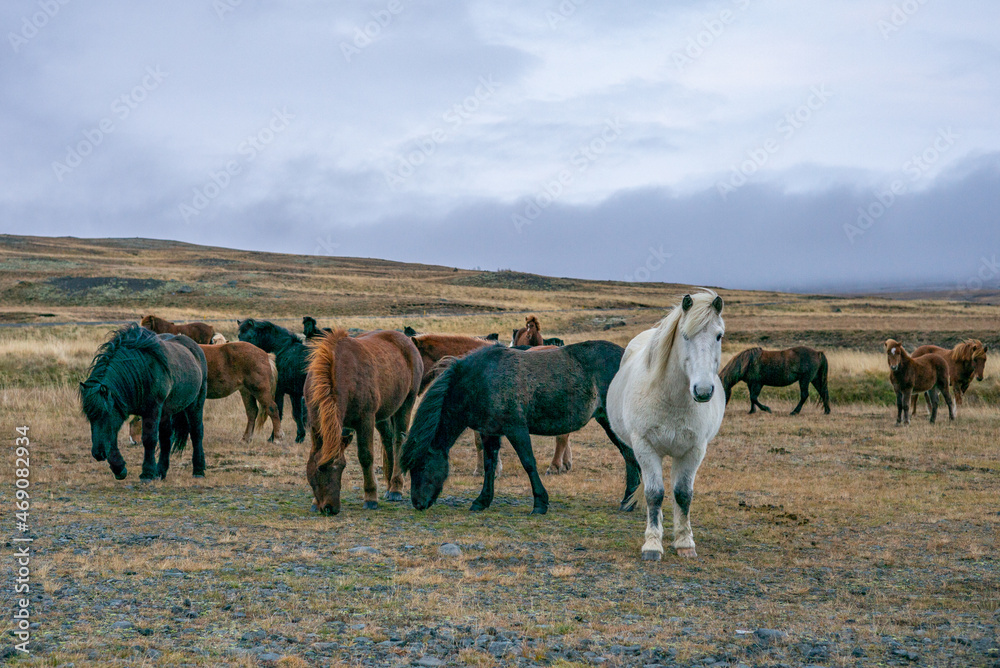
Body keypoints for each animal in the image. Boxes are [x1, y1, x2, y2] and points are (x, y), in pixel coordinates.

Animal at [81, 324, 208, 480]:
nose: (98, 454)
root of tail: (196, 348)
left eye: (105, 414)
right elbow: (111, 438)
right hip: (166, 412)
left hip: (196, 403)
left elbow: (149, 439)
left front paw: (147, 473)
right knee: (166, 438)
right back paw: (161, 471)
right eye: (89, 416)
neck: (141, 371)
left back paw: (198, 470)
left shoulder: (151, 410)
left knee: (196, 433)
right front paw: (119, 469)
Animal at [128, 342, 282, 446]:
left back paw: (277, 438)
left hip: (259, 390)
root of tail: (265, 355)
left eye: (139, 419)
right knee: (251, 413)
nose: (133, 441)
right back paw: (245, 439)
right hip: (246, 391)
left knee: (272, 409)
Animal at [308, 332, 426, 516]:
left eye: (342, 467)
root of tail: (407, 340)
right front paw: (314, 502)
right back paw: (389, 485)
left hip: (406, 403)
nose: (330, 508)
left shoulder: (365, 420)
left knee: (399, 441)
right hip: (384, 414)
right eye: (319, 469)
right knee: (388, 441)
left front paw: (371, 497)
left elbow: (365, 456)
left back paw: (395, 488)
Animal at [400, 342, 640, 516]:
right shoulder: (490, 432)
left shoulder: (516, 429)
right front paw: (482, 501)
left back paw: (628, 500)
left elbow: (528, 463)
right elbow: (489, 465)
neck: (481, 380)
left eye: (421, 466)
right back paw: (630, 500)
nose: (417, 503)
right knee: (629, 456)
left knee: (629, 456)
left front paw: (540, 503)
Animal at [604, 290, 724, 560]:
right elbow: (654, 494)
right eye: (685, 335)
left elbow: (683, 494)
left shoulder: (694, 450)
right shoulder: (645, 447)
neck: (673, 399)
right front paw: (652, 545)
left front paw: (685, 542)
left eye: (719, 335)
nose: (702, 391)